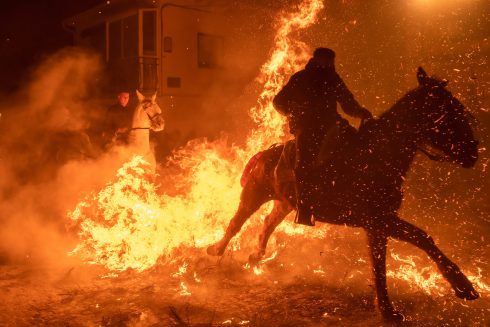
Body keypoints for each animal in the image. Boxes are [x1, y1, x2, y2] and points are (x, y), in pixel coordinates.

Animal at [207, 68, 478, 322]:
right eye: (447, 110)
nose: (473, 154)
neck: (377, 155)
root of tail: (265, 153)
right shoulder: (379, 222)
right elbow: (400, 252)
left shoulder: (381, 223)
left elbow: (409, 247)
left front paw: (460, 287)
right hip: (253, 196)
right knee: (235, 223)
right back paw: (216, 250)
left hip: (284, 204)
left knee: (267, 224)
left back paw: (255, 255)